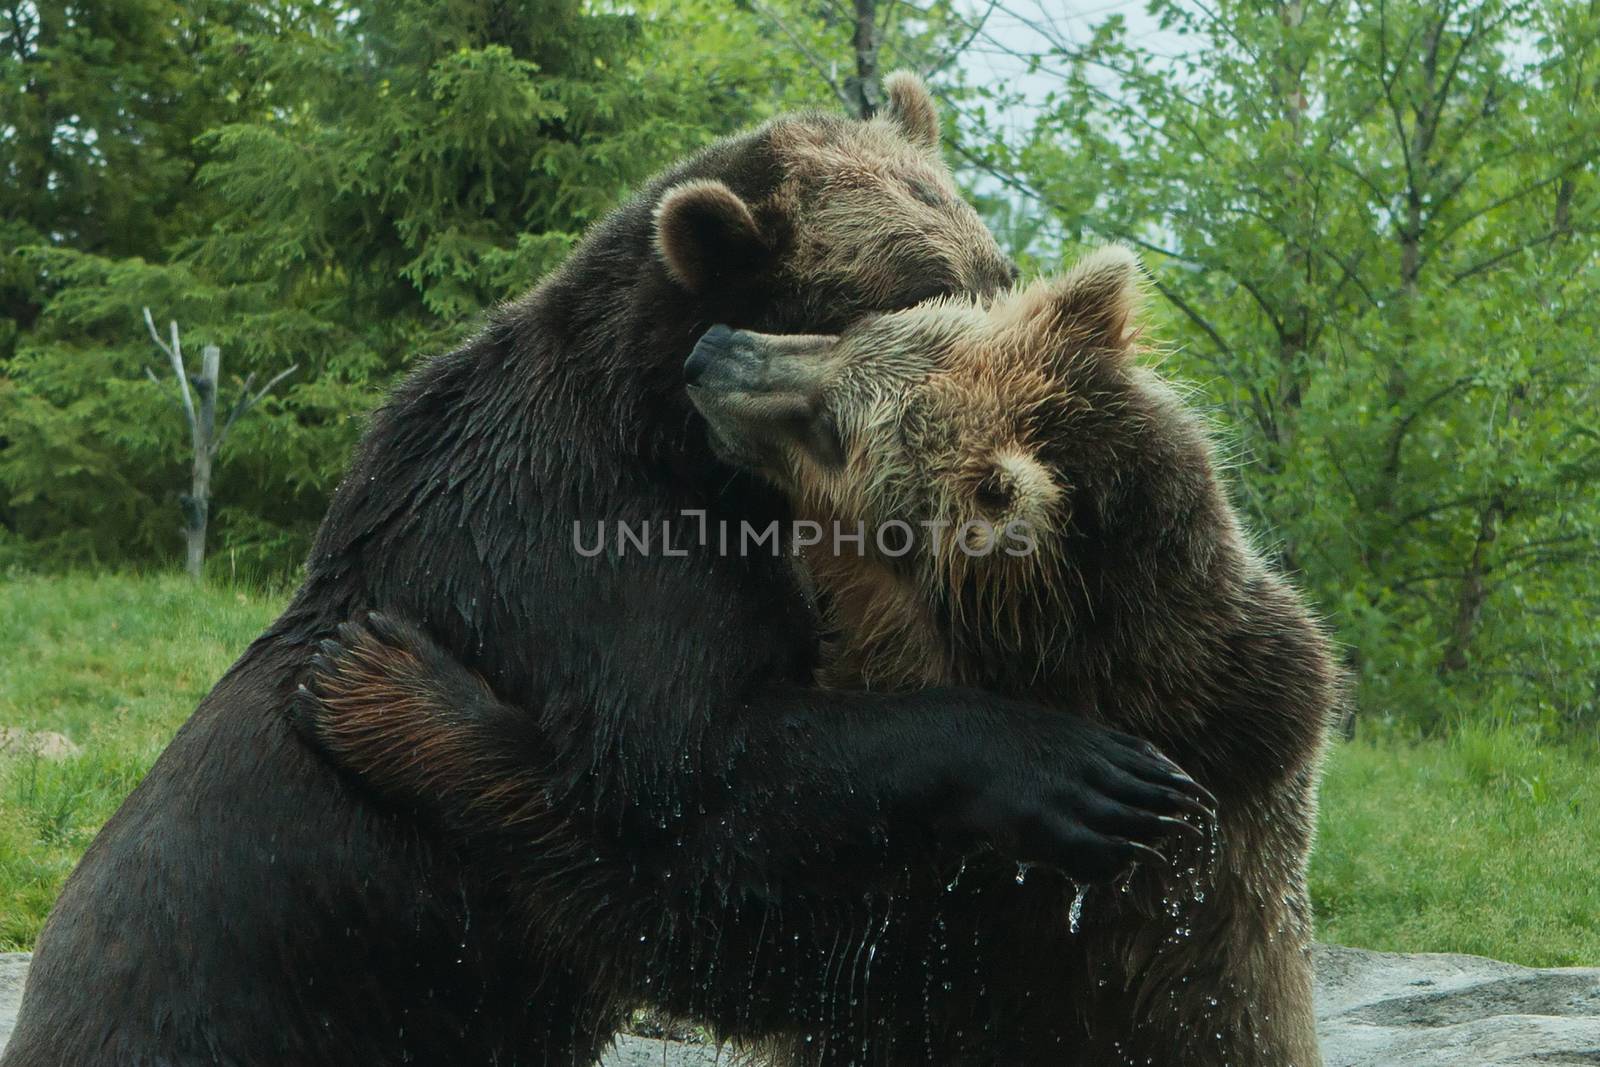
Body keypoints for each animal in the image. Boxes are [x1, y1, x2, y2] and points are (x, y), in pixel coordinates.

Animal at [0, 83, 1203, 1067]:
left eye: (997, 276)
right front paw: (1073, 768)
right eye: (924, 296)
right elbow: (687, 786)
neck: (678, 445)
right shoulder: (589, 574)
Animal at [300, 246, 1337, 1062]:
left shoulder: (995, 914)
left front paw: (384, 683)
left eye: (836, 428)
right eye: (860, 327)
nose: (711, 352)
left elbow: (701, 908)